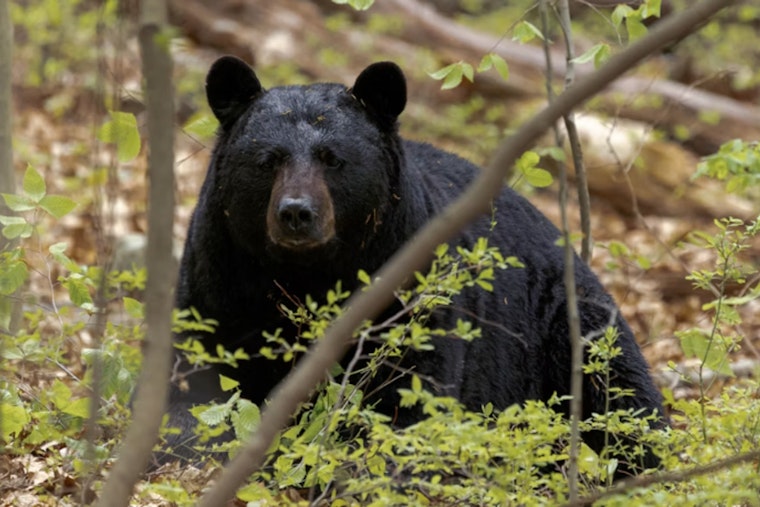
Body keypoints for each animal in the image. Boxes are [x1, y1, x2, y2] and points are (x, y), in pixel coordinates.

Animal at [162, 55, 664, 474]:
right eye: (268, 160)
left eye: (333, 159)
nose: (296, 212)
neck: (307, 274)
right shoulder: (220, 277)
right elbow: (196, 381)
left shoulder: (409, 287)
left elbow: (410, 393)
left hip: (565, 323)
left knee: (621, 393)